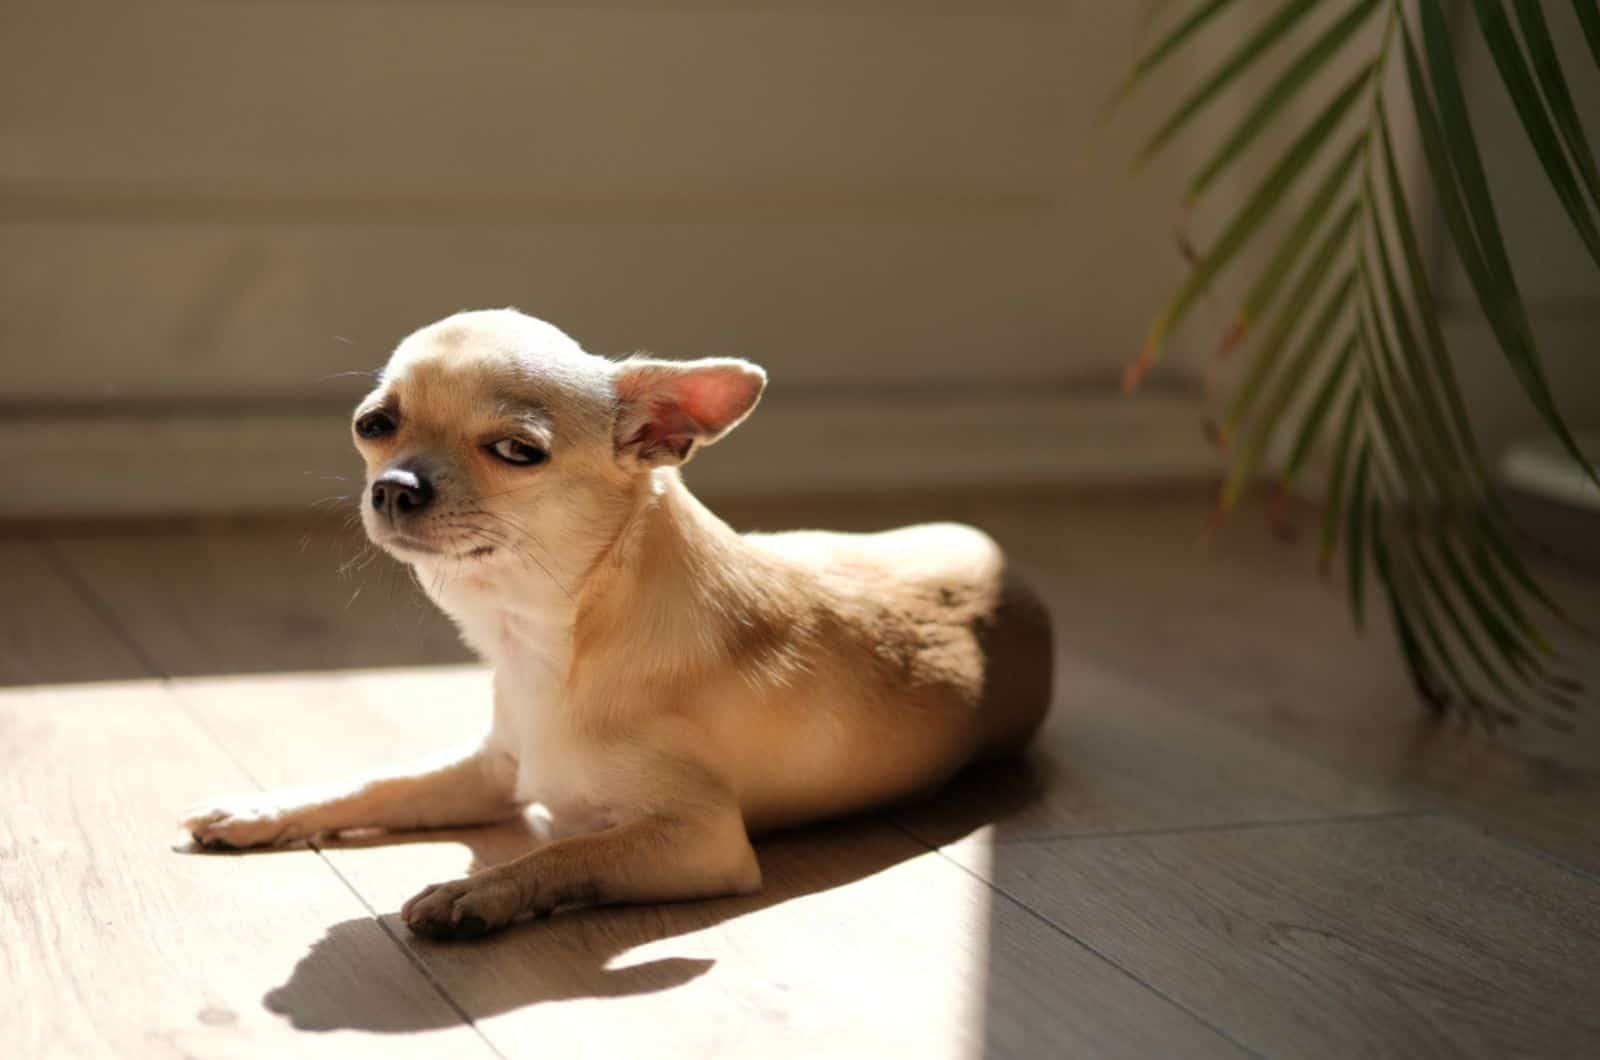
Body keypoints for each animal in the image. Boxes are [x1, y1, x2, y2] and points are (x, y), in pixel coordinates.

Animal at [181, 312, 1056, 941]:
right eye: (373, 425)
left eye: (516, 450)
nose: (392, 486)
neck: (544, 640)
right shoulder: (493, 769)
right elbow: (378, 782)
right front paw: (262, 810)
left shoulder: (701, 841)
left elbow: (569, 849)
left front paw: (476, 890)